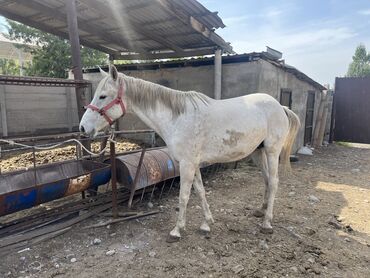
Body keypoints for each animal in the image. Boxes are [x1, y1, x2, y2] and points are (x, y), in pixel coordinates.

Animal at [79, 64, 300, 241]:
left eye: (103, 96)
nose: (83, 128)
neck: (177, 118)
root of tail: (280, 106)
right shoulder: (193, 164)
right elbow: (200, 191)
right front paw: (207, 222)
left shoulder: (187, 164)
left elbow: (184, 196)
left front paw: (177, 230)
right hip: (258, 152)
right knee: (266, 180)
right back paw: (260, 211)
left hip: (272, 151)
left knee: (274, 182)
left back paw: (267, 223)